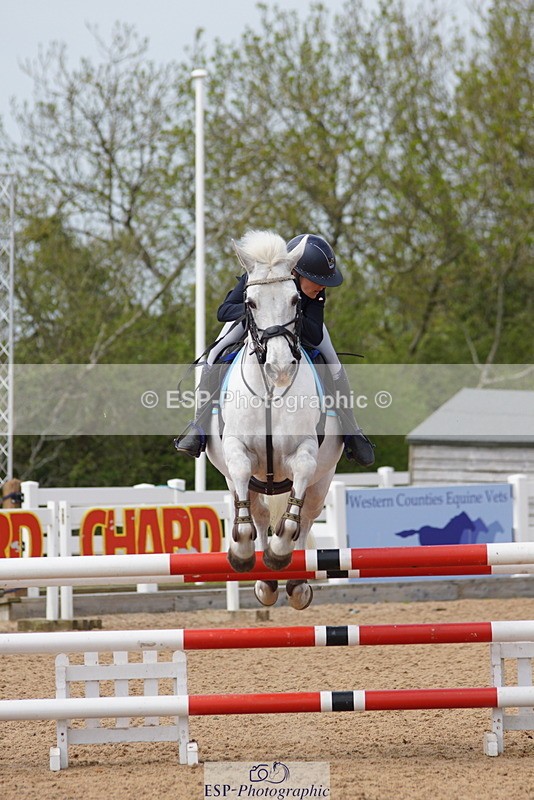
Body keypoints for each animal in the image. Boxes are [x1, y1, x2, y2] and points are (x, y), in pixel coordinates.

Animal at [206, 230, 343, 610]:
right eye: (250, 303)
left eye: (296, 300)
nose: (280, 368)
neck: (270, 393)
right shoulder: (237, 450)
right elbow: (242, 480)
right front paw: (239, 550)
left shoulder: (305, 453)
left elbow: (294, 517)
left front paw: (280, 551)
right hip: (246, 483)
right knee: (258, 512)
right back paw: (265, 581)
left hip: (323, 480)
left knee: (306, 518)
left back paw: (294, 581)